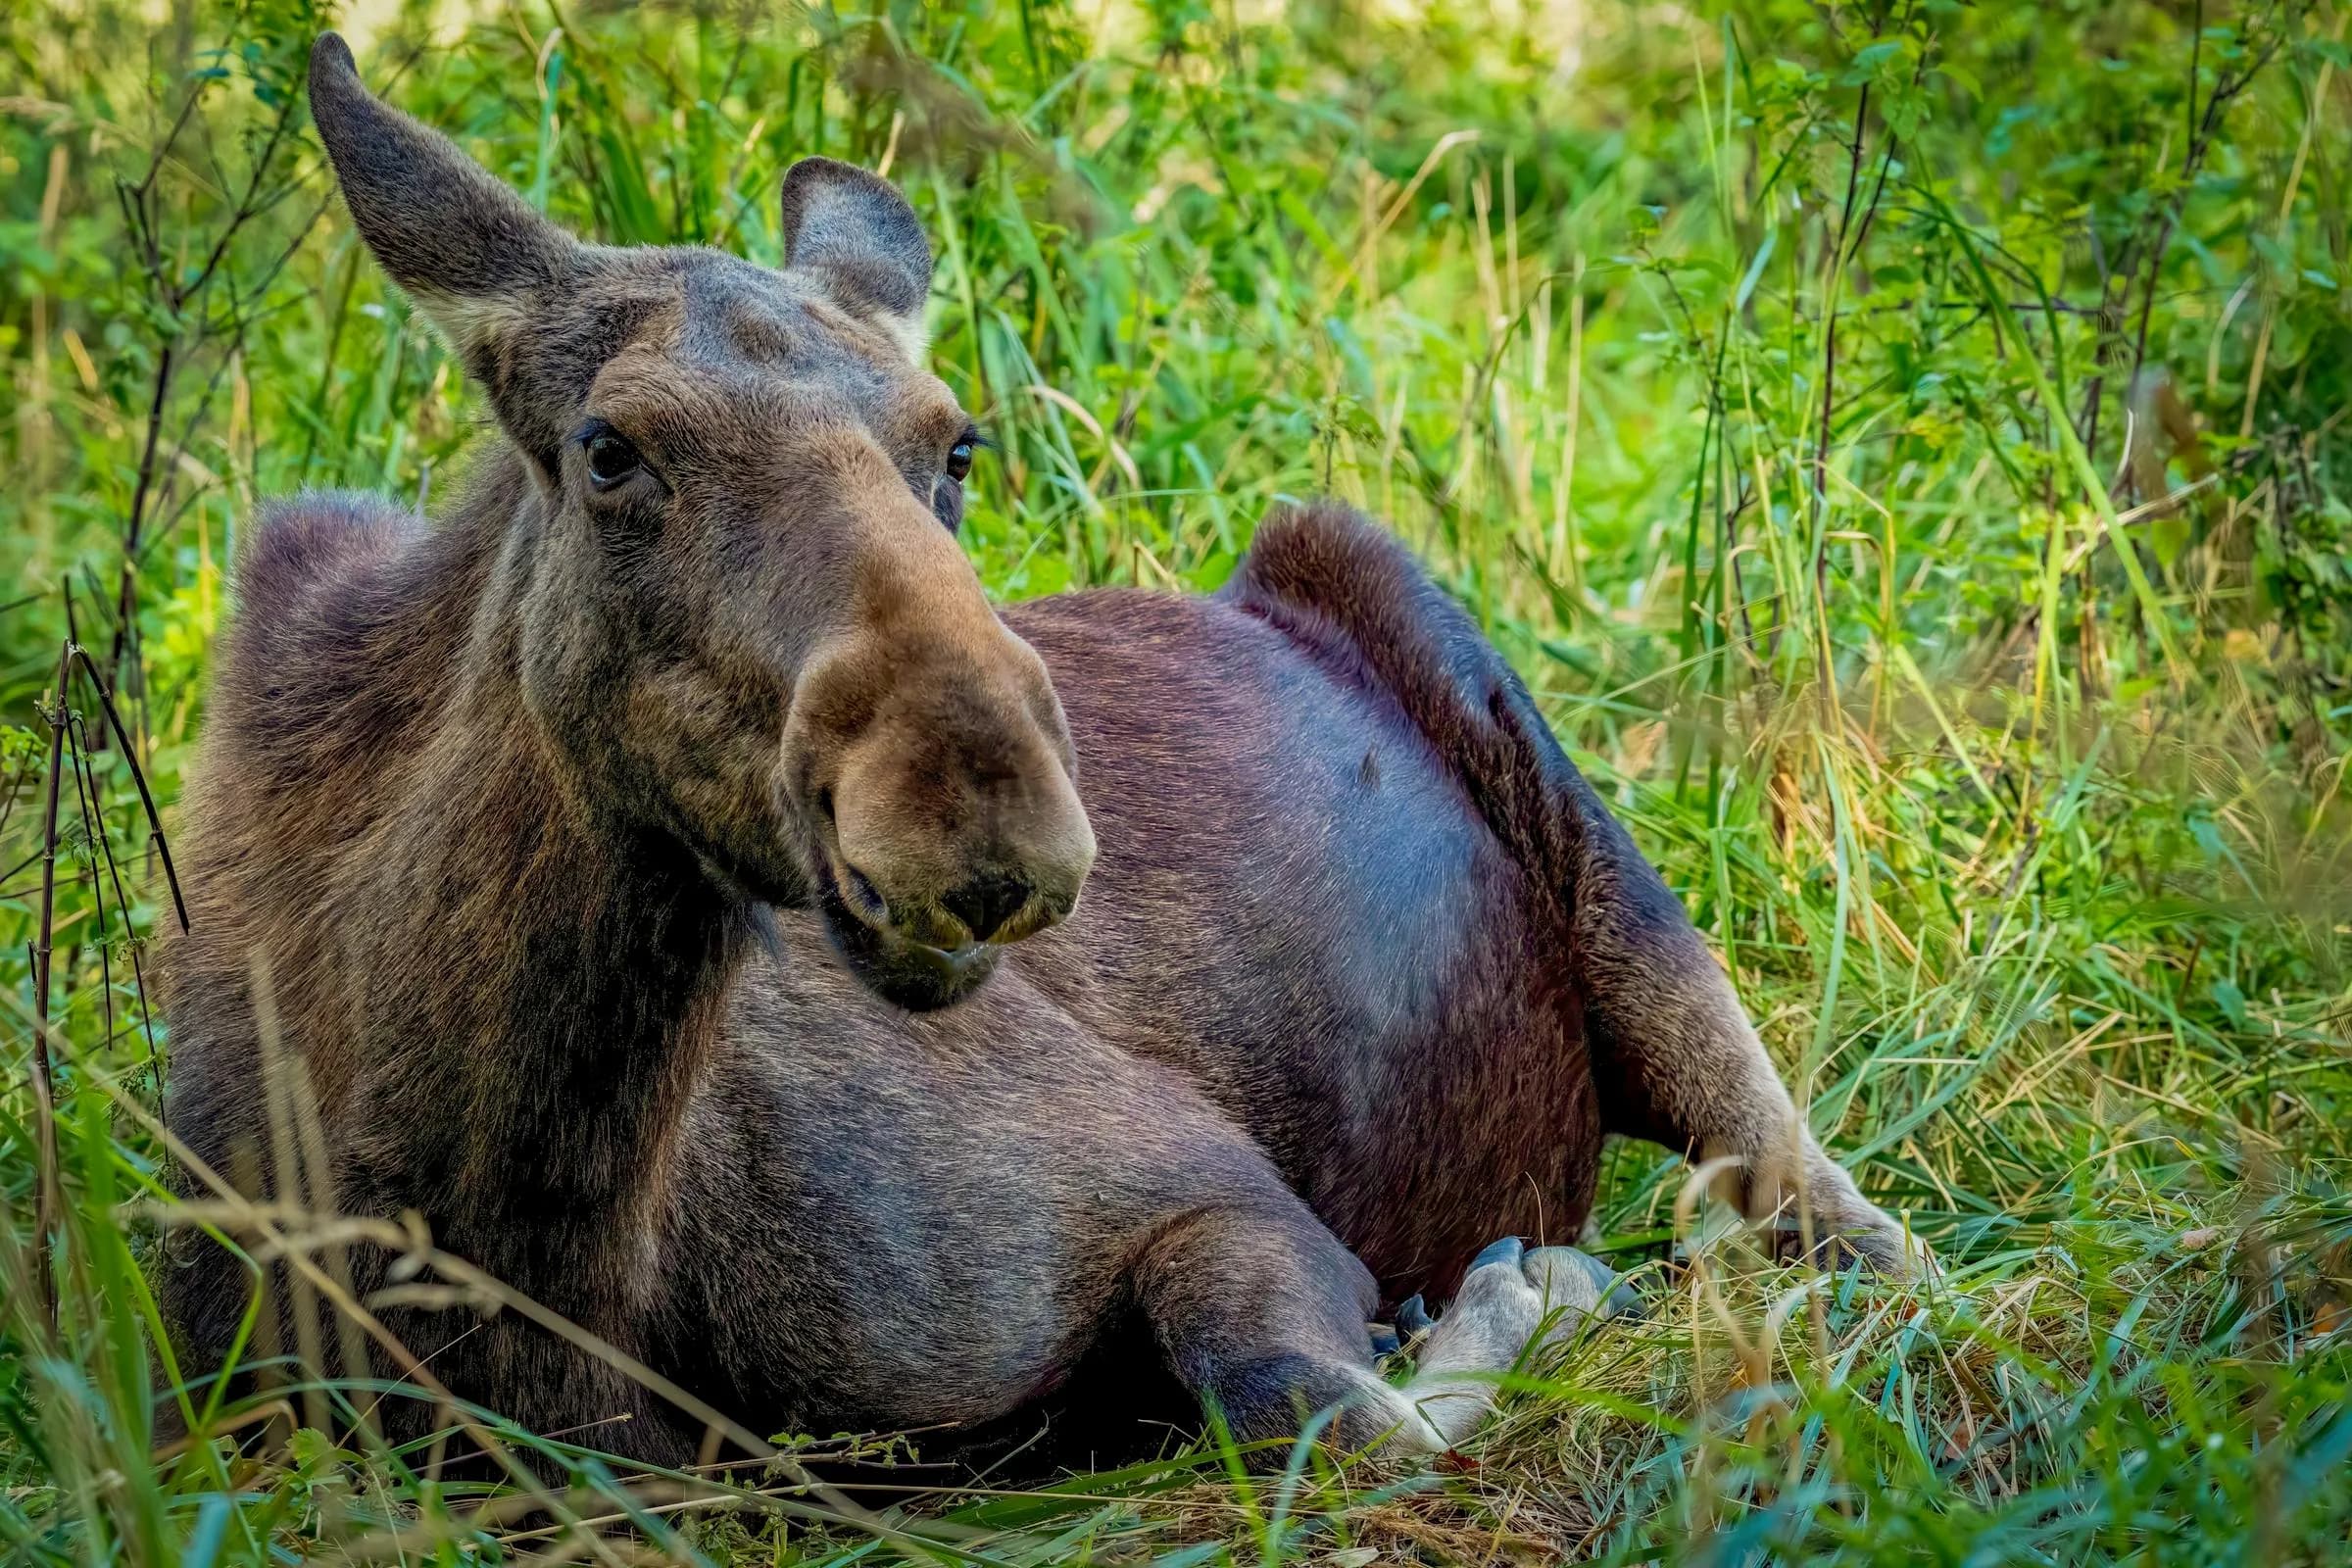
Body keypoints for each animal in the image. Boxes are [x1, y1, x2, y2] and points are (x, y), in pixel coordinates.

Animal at [160, 34, 1924, 1470]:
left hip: (1530, 761)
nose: (978, 817)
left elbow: (1318, 1409)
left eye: (957, 445)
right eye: (610, 450)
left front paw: (1518, 1291)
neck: (513, 1223)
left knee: (1820, 1195)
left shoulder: (1206, 1185)